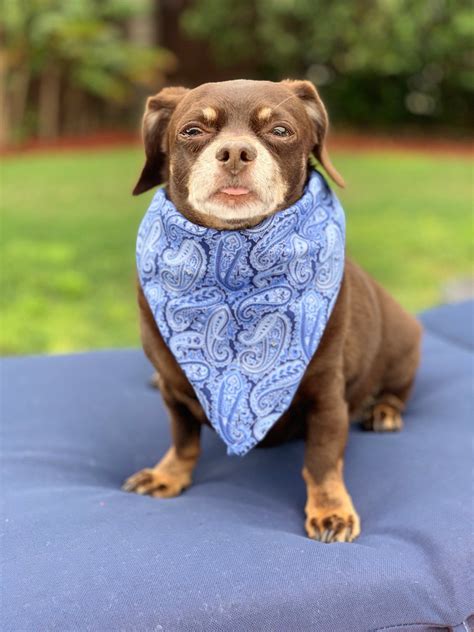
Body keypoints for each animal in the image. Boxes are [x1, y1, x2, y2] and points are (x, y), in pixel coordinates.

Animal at [122, 80, 422, 544]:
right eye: (192, 131)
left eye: (280, 130)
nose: (235, 152)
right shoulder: (175, 392)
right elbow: (184, 438)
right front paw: (168, 474)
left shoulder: (327, 397)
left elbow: (322, 459)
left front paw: (330, 509)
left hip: (403, 349)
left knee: (397, 391)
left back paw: (384, 410)